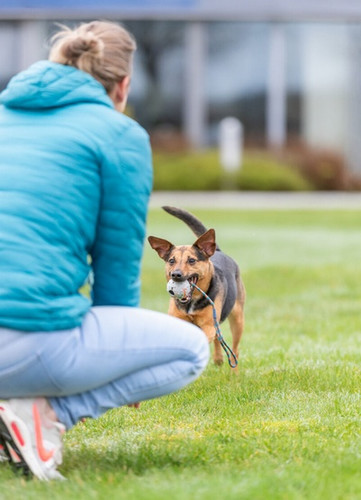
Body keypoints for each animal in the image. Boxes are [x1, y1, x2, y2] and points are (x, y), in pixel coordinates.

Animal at [147, 205, 245, 366]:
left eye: (191, 260)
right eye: (171, 260)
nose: (176, 274)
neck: (191, 302)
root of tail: (217, 251)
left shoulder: (208, 325)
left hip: (237, 318)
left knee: (234, 351)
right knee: (219, 338)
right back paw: (218, 359)